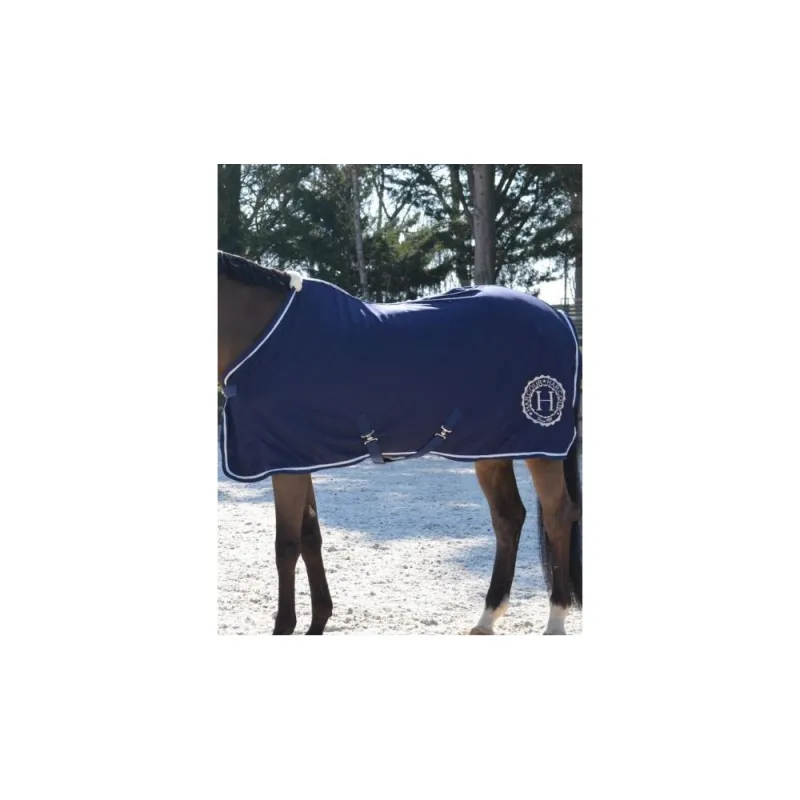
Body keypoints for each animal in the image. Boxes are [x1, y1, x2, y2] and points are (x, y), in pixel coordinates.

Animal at [218, 250, 582, 635]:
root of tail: (557, 315)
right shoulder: (299, 459)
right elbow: (310, 537)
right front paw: (318, 623)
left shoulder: (284, 463)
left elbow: (287, 545)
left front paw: (285, 627)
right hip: (493, 449)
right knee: (508, 518)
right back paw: (486, 618)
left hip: (542, 448)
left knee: (558, 516)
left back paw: (555, 622)